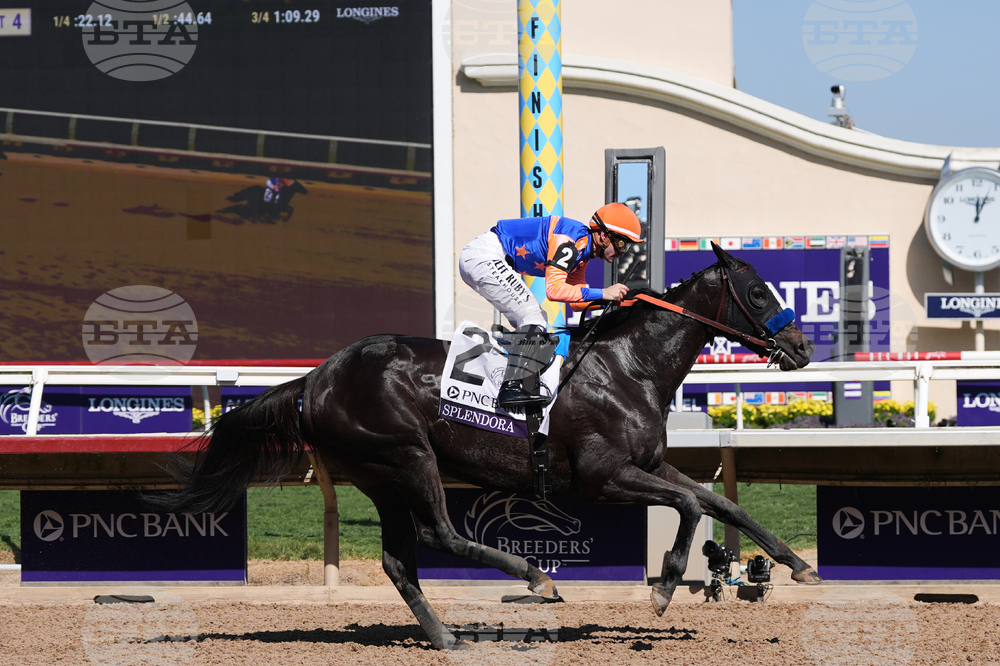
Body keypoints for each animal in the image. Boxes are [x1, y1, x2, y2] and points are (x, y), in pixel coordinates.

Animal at [158, 242, 821, 649]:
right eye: (758, 294)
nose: (802, 348)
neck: (628, 366)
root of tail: (315, 379)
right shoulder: (603, 476)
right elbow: (686, 507)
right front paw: (662, 591)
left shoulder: (649, 462)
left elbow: (720, 502)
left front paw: (798, 564)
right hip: (406, 456)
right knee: (439, 534)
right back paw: (535, 578)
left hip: (378, 475)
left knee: (399, 559)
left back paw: (446, 636)